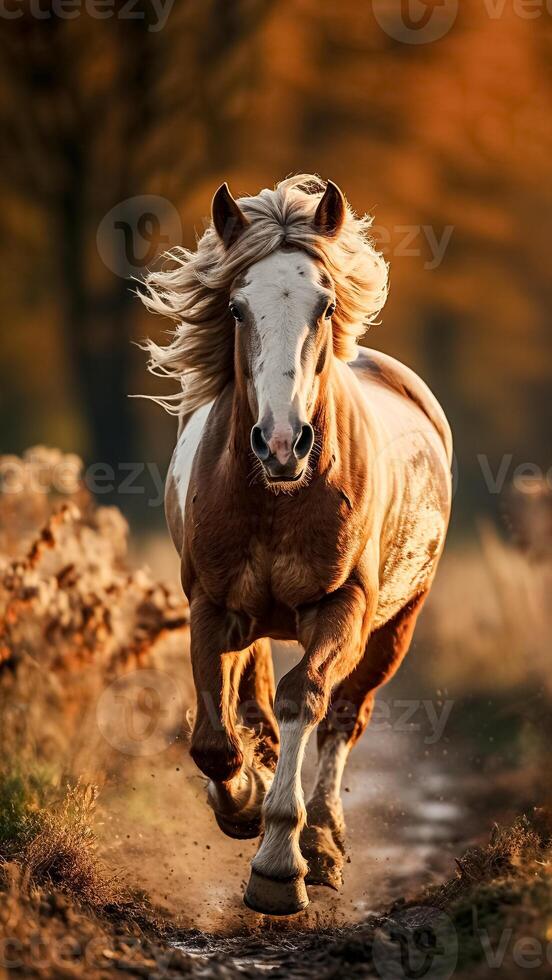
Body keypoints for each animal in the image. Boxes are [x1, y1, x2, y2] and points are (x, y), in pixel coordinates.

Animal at [139, 176, 452, 920]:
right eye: (236, 306)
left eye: (326, 303)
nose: (283, 444)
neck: (279, 496)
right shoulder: (210, 606)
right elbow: (213, 737)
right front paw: (243, 801)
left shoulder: (345, 607)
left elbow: (304, 698)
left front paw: (281, 864)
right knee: (251, 691)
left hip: (395, 625)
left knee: (345, 717)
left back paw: (327, 844)